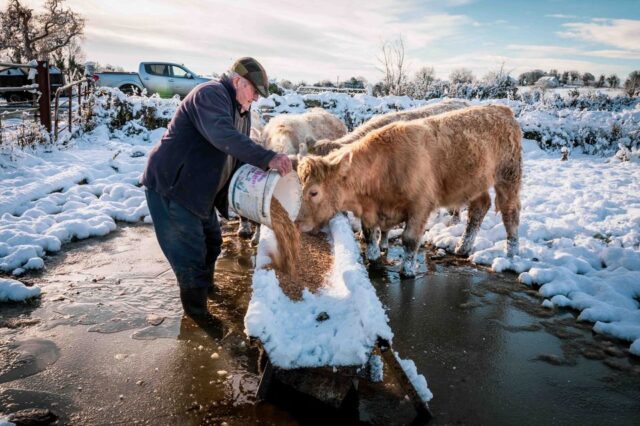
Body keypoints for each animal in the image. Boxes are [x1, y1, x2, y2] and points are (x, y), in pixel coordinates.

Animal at [298, 103, 524, 276]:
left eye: (314, 192)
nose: (299, 223)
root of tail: (502, 109)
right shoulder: (371, 211)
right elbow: (371, 234)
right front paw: (374, 257)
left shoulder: (420, 207)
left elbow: (409, 240)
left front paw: (407, 271)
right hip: (474, 184)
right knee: (479, 208)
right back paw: (463, 247)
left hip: (508, 177)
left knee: (510, 214)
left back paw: (512, 255)